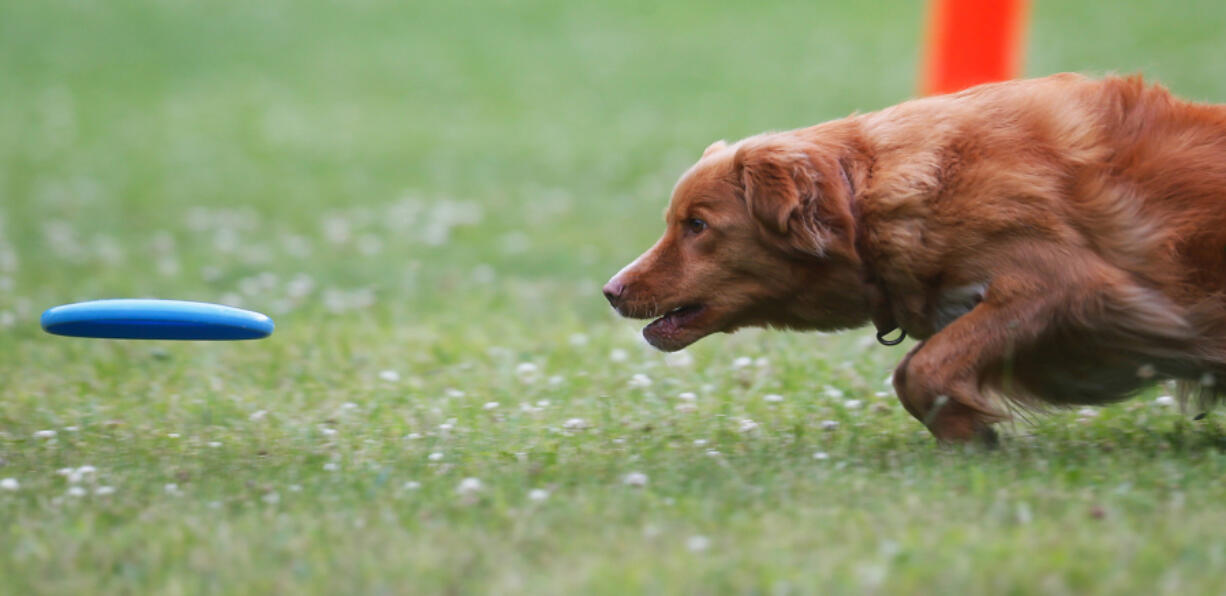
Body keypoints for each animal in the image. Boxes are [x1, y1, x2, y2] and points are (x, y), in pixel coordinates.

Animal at [608, 74, 1226, 441]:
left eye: (697, 225)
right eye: (676, 222)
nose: (610, 292)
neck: (865, 200)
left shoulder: (1067, 283)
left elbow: (919, 367)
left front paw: (969, 434)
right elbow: (921, 368)